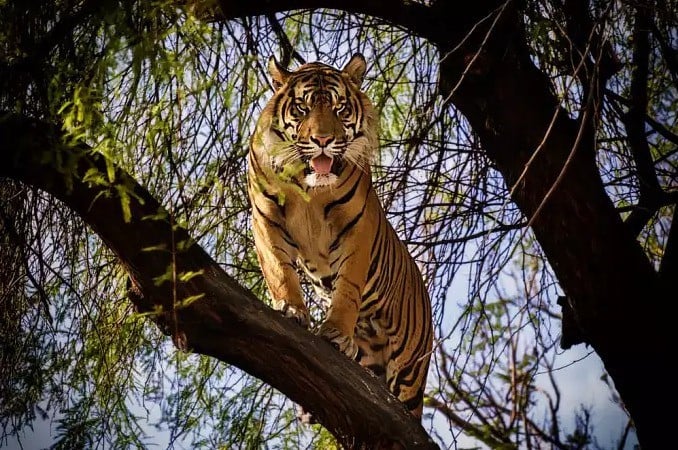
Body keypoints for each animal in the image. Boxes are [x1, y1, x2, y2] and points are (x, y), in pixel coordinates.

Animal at [247, 54, 432, 420]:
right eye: (302, 108)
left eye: (339, 108)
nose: (322, 140)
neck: (309, 187)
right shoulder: (265, 219)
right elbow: (279, 270)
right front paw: (290, 309)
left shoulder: (357, 230)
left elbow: (347, 290)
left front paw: (334, 333)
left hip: (409, 372)